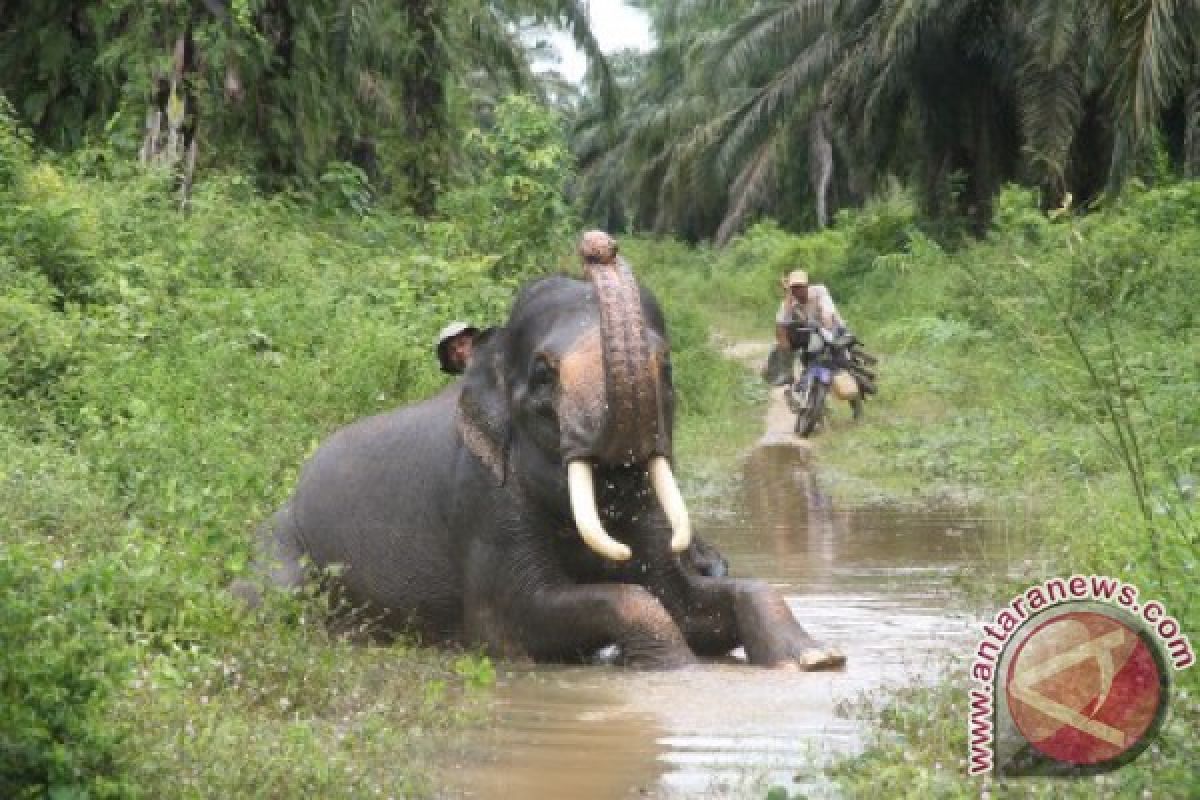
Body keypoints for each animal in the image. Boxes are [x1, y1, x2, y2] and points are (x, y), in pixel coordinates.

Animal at [255, 262, 844, 671]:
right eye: (542, 376)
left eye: (668, 368)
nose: (598, 245)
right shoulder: (484, 504)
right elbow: (519, 619)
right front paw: (678, 669)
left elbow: (689, 598)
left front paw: (817, 659)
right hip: (281, 545)